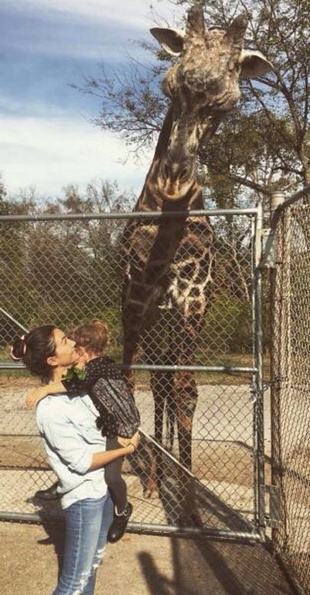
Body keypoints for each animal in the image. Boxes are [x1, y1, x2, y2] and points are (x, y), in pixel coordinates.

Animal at [121, 7, 274, 524]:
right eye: (168, 87)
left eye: (226, 104)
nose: (173, 182)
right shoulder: (137, 300)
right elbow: (133, 383)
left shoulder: (193, 301)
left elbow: (186, 393)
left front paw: (188, 507)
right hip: (150, 322)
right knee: (153, 385)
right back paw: (150, 474)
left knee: (170, 387)